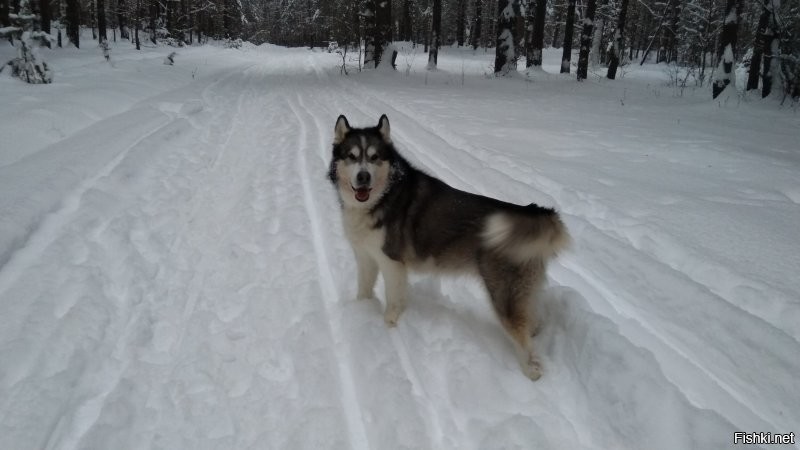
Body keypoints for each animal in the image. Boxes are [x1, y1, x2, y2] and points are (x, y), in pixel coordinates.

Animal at [326, 113, 568, 380]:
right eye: (351, 156)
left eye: (374, 157)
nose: (363, 177)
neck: (382, 197)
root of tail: (531, 210)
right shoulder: (365, 257)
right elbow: (364, 290)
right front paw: (360, 312)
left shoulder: (392, 262)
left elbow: (393, 301)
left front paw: (389, 324)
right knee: (532, 320)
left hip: (503, 296)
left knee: (526, 345)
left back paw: (531, 372)